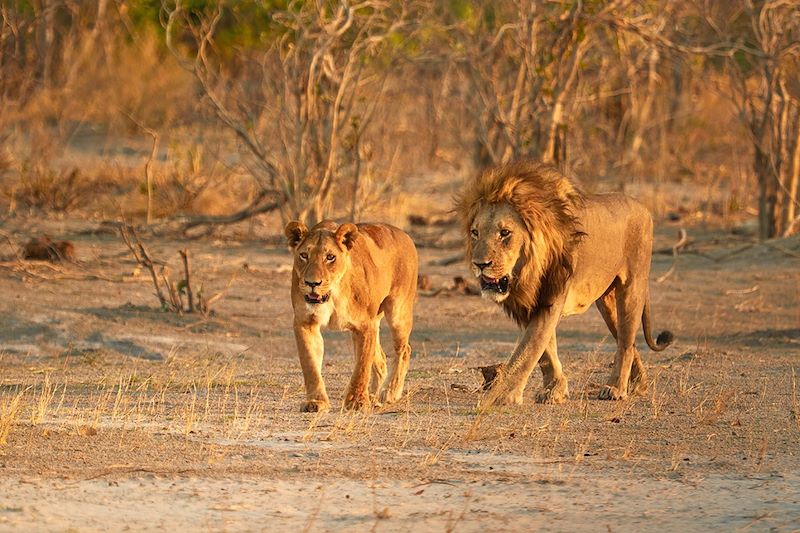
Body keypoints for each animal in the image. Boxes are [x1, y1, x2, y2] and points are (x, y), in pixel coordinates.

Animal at [284, 218, 418, 410]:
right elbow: (310, 364)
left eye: (330, 257)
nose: (312, 283)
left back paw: (389, 392)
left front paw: (357, 401)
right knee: (380, 358)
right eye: (303, 255)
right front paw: (315, 402)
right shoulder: (305, 322)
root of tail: (404, 234)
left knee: (404, 349)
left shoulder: (364, 325)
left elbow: (361, 366)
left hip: (398, 312)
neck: (333, 294)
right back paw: (374, 394)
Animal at [456, 160, 676, 406]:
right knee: (625, 340)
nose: (479, 264)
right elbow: (545, 351)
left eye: (505, 233)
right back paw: (638, 384)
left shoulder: (552, 297)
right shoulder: (532, 302)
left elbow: (527, 350)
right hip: (606, 302)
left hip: (632, 286)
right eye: (475, 232)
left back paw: (616, 388)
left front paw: (502, 396)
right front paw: (555, 389)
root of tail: (643, 207)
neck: (527, 272)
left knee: (626, 341)